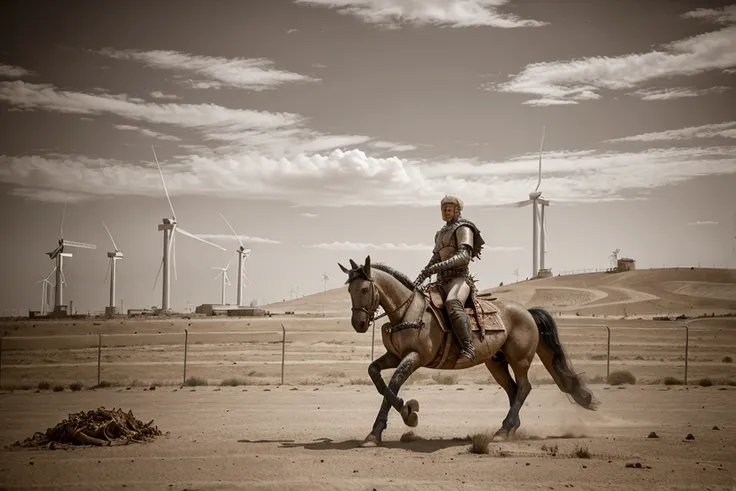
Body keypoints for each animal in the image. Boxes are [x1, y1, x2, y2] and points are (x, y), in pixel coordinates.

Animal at [340, 256, 600, 448]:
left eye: (365, 289)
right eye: (349, 290)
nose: (358, 323)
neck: (407, 312)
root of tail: (527, 312)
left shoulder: (415, 357)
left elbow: (393, 383)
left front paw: (395, 421)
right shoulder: (394, 356)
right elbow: (375, 374)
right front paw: (404, 412)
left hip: (520, 359)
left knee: (524, 387)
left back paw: (503, 430)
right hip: (496, 362)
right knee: (514, 389)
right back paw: (511, 427)